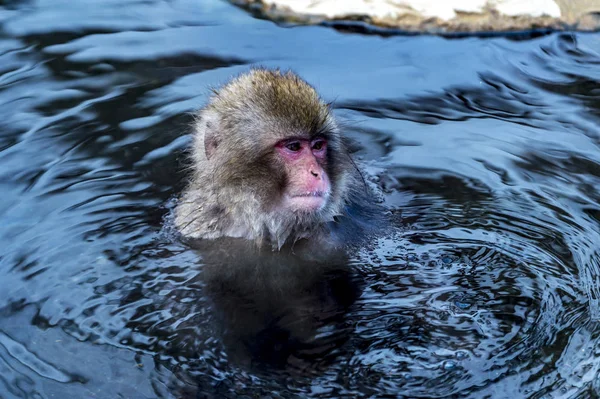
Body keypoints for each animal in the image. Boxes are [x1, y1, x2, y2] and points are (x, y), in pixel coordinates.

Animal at [1, 1, 600, 398]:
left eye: (317, 145)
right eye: (290, 148)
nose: (314, 169)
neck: (268, 229)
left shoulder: (358, 220)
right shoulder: (195, 234)